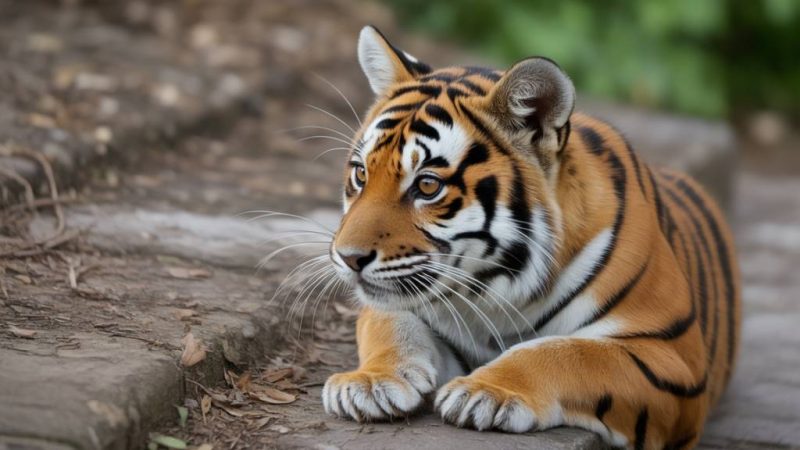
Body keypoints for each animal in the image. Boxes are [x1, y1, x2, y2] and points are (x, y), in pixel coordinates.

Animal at [319, 26, 741, 449]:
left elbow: (565, 353)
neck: (494, 284)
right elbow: (391, 326)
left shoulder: (670, 356)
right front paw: (369, 382)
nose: (347, 257)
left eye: (427, 185)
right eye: (360, 174)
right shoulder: (395, 305)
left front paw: (484, 392)